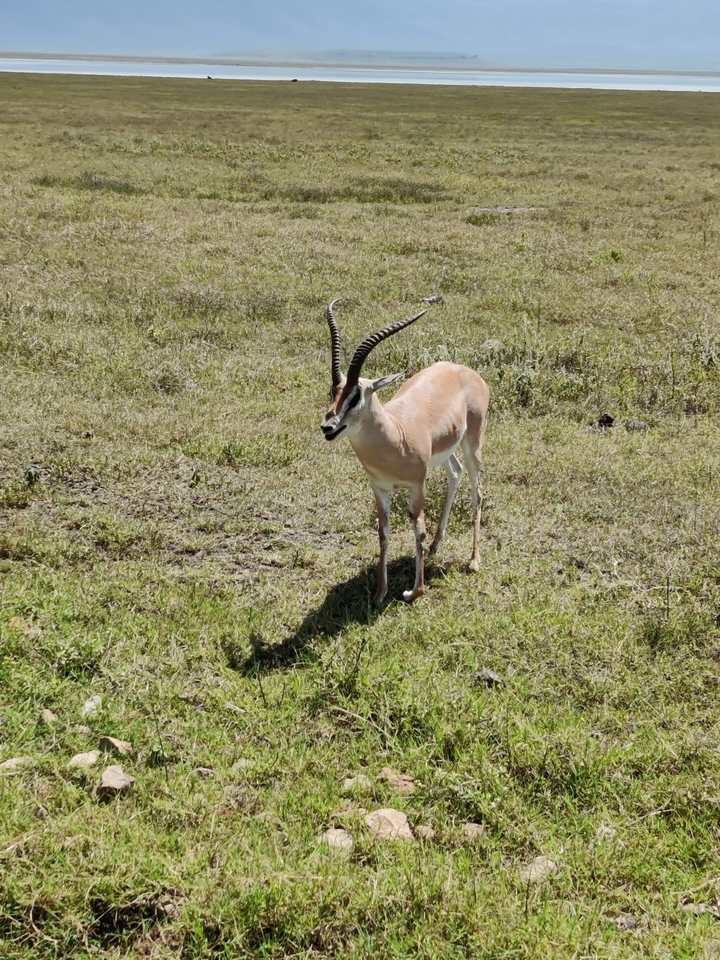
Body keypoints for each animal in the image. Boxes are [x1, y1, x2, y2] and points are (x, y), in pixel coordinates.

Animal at [320, 299, 489, 604]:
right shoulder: (379, 488)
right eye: (333, 391)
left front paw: (415, 591)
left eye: (356, 396)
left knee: (477, 492)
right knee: (455, 473)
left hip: (473, 444)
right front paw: (379, 593)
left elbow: (417, 530)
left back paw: (473, 561)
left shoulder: (417, 486)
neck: (394, 435)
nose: (328, 426)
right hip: (446, 450)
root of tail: (464, 370)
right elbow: (383, 533)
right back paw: (437, 545)